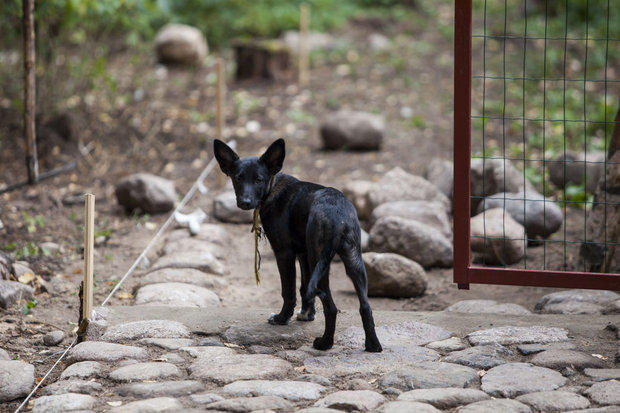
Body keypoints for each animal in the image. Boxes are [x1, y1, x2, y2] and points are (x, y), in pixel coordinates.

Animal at [216, 138, 382, 350]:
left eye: (259, 180)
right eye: (238, 178)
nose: (245, 202)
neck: (273, 186)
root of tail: (337, 216)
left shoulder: (284, 253)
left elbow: (289, 291)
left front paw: (281, 318)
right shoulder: (303, 254)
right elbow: (304, 286)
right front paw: (307, 314)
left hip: (321, 261)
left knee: (331, 307)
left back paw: (324, 343)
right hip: (352, 261)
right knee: (365, 306)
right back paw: (373, 345)